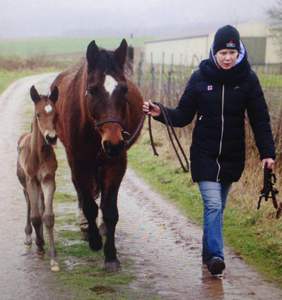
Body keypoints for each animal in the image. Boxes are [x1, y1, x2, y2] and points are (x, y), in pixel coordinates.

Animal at [51, 38, 144, 270]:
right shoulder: (79, 162)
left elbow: (109, 211)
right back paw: (86, 226)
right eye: (92, 90)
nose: (114, 144)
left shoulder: (116, 163)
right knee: (80, 190)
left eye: (124, 90)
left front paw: (110, 255)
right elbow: (89, 205)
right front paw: (93, 240)